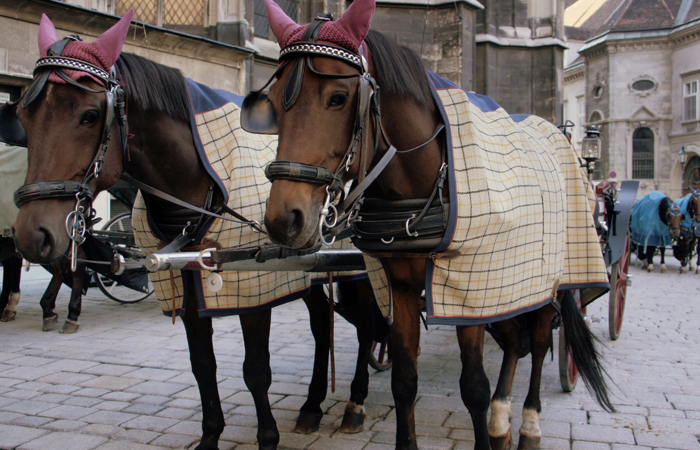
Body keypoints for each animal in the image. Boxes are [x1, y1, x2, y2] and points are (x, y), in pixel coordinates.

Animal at [2, 10, 378, 450]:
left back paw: (355, 402)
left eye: (89, 115)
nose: (32, 234)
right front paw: (210, 435)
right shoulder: (188, 289)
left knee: (367, 325)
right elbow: (202, 366)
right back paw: (312, 405)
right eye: (24, 118)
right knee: (322, 326)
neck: (201, 188)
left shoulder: (253, 293)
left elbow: (256, 371)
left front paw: (267, 437)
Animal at [252, 0, 612, 450]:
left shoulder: (467, 288)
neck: (423, 186)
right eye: (274, 104)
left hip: (549, 279)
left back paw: (529, 424)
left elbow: (473, 386)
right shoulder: (403, 286)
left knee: (542, 336)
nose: (284, 219)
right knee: (515, 340)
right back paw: (501, 420)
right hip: (508, 285)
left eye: (338, 97)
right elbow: (405, 380)